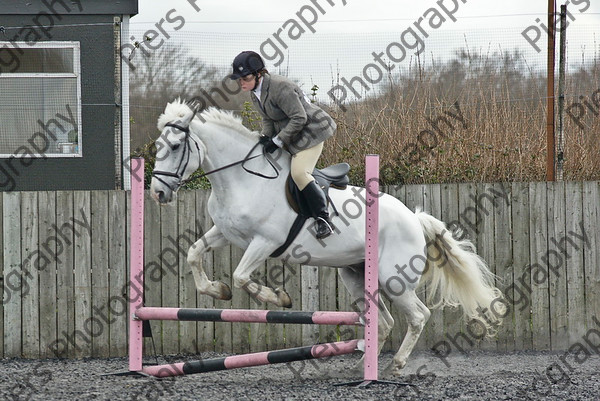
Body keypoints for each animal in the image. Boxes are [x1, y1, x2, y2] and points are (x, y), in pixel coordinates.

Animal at [148, 100, 504, 376]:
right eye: (158, 147)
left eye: (176, 147)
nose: (158, 193)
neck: (240, 178)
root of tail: (414, 218)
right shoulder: (225, 233)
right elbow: (194, 253)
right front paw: (217, 291)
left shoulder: (264, 242)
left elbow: (241, 276)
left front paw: (278, 298)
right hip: (356, 277)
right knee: (384, 321)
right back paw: (361, 368)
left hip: (394, 280)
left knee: (418, 316)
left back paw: (395, 366)